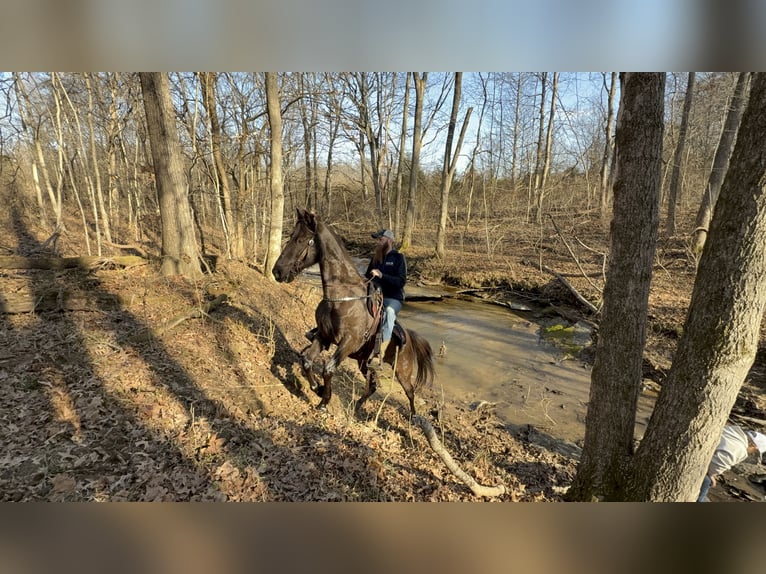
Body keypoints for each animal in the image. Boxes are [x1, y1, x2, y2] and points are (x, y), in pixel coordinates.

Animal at [272, 208, 435, 415]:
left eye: (300, 240)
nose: (277, 271)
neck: (341, 297)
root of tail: (409, 338)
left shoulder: (349, 341)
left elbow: (328, 369)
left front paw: (324, 401)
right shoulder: (323, 336)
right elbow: (307, 361)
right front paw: (317, 388)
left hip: (402, 371)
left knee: (410, 392)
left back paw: (413, 417)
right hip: (363, 362)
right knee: (373, 384)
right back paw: (358, 406)